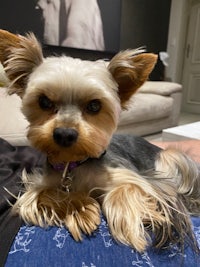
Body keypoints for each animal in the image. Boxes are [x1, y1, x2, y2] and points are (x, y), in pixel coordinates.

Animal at [0, 29, 200, 253]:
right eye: (44, 101)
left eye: (95, 106)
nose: (64, 134)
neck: (73, 164)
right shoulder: (38, 185)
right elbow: (38, 195)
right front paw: (80, 208)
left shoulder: (143, 179)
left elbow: (127, 188)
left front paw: (128, 225)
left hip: (171, 156)